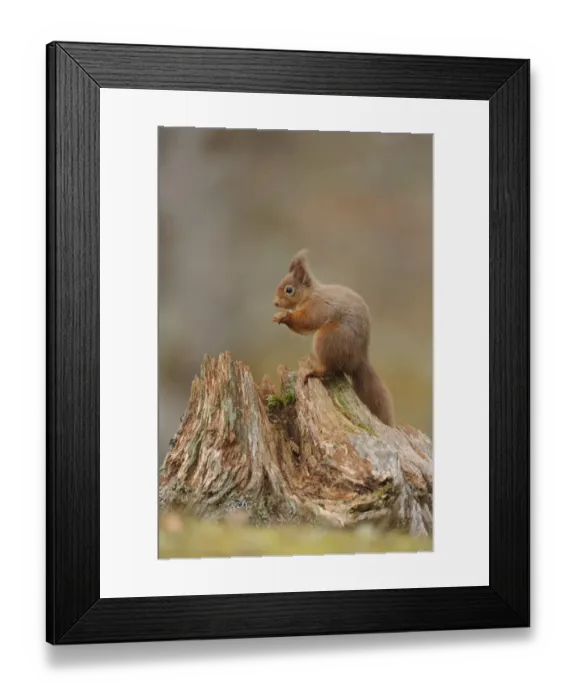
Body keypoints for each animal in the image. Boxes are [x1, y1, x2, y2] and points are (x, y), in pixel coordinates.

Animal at [272, 249, 395, 427]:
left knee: (330, 369)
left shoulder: (316, 307)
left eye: (289, 290)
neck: (311, 294)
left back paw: (314, 371)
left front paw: (285, 316)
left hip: (327, 338)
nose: (275, 303)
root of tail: (358, 361)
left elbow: (307, 321)